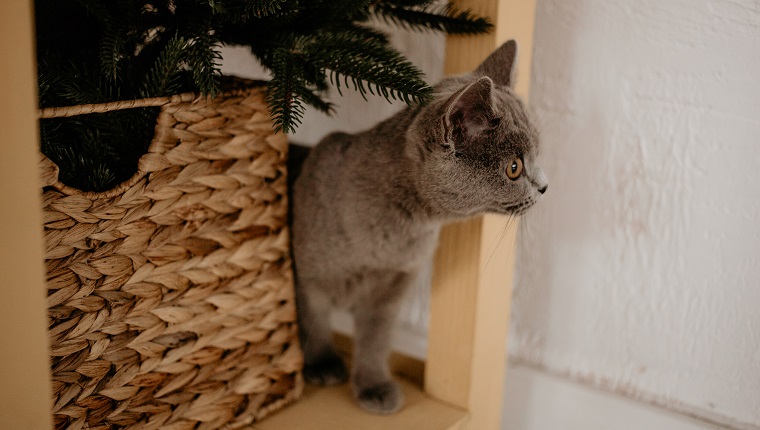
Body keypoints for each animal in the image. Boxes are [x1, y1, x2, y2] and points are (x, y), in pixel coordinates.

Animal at [290, 40, 548, 414]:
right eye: (514, 168)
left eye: (537, 155)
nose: (544, 186)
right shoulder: (303, 274)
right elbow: (313, 320)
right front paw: (322, 363)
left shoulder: (394, 287)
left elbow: (375, 339)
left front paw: (373, 385)